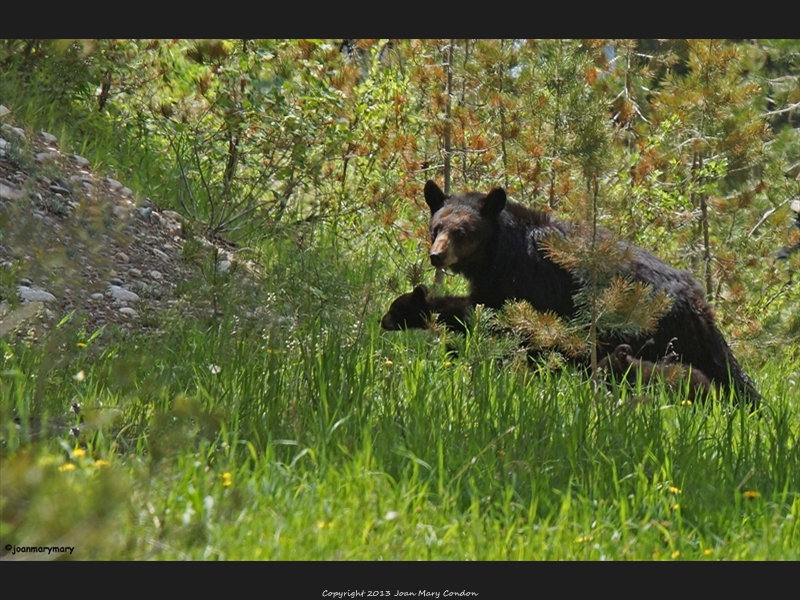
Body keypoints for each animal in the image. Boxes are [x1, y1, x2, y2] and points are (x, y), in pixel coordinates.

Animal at [422, 178, 760, 404]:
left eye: (462, 231)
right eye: (436, 227)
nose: (436, 255)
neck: (498, 254)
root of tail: (698, 300)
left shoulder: (529, 286)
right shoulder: (493, 286)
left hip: (656, 333)